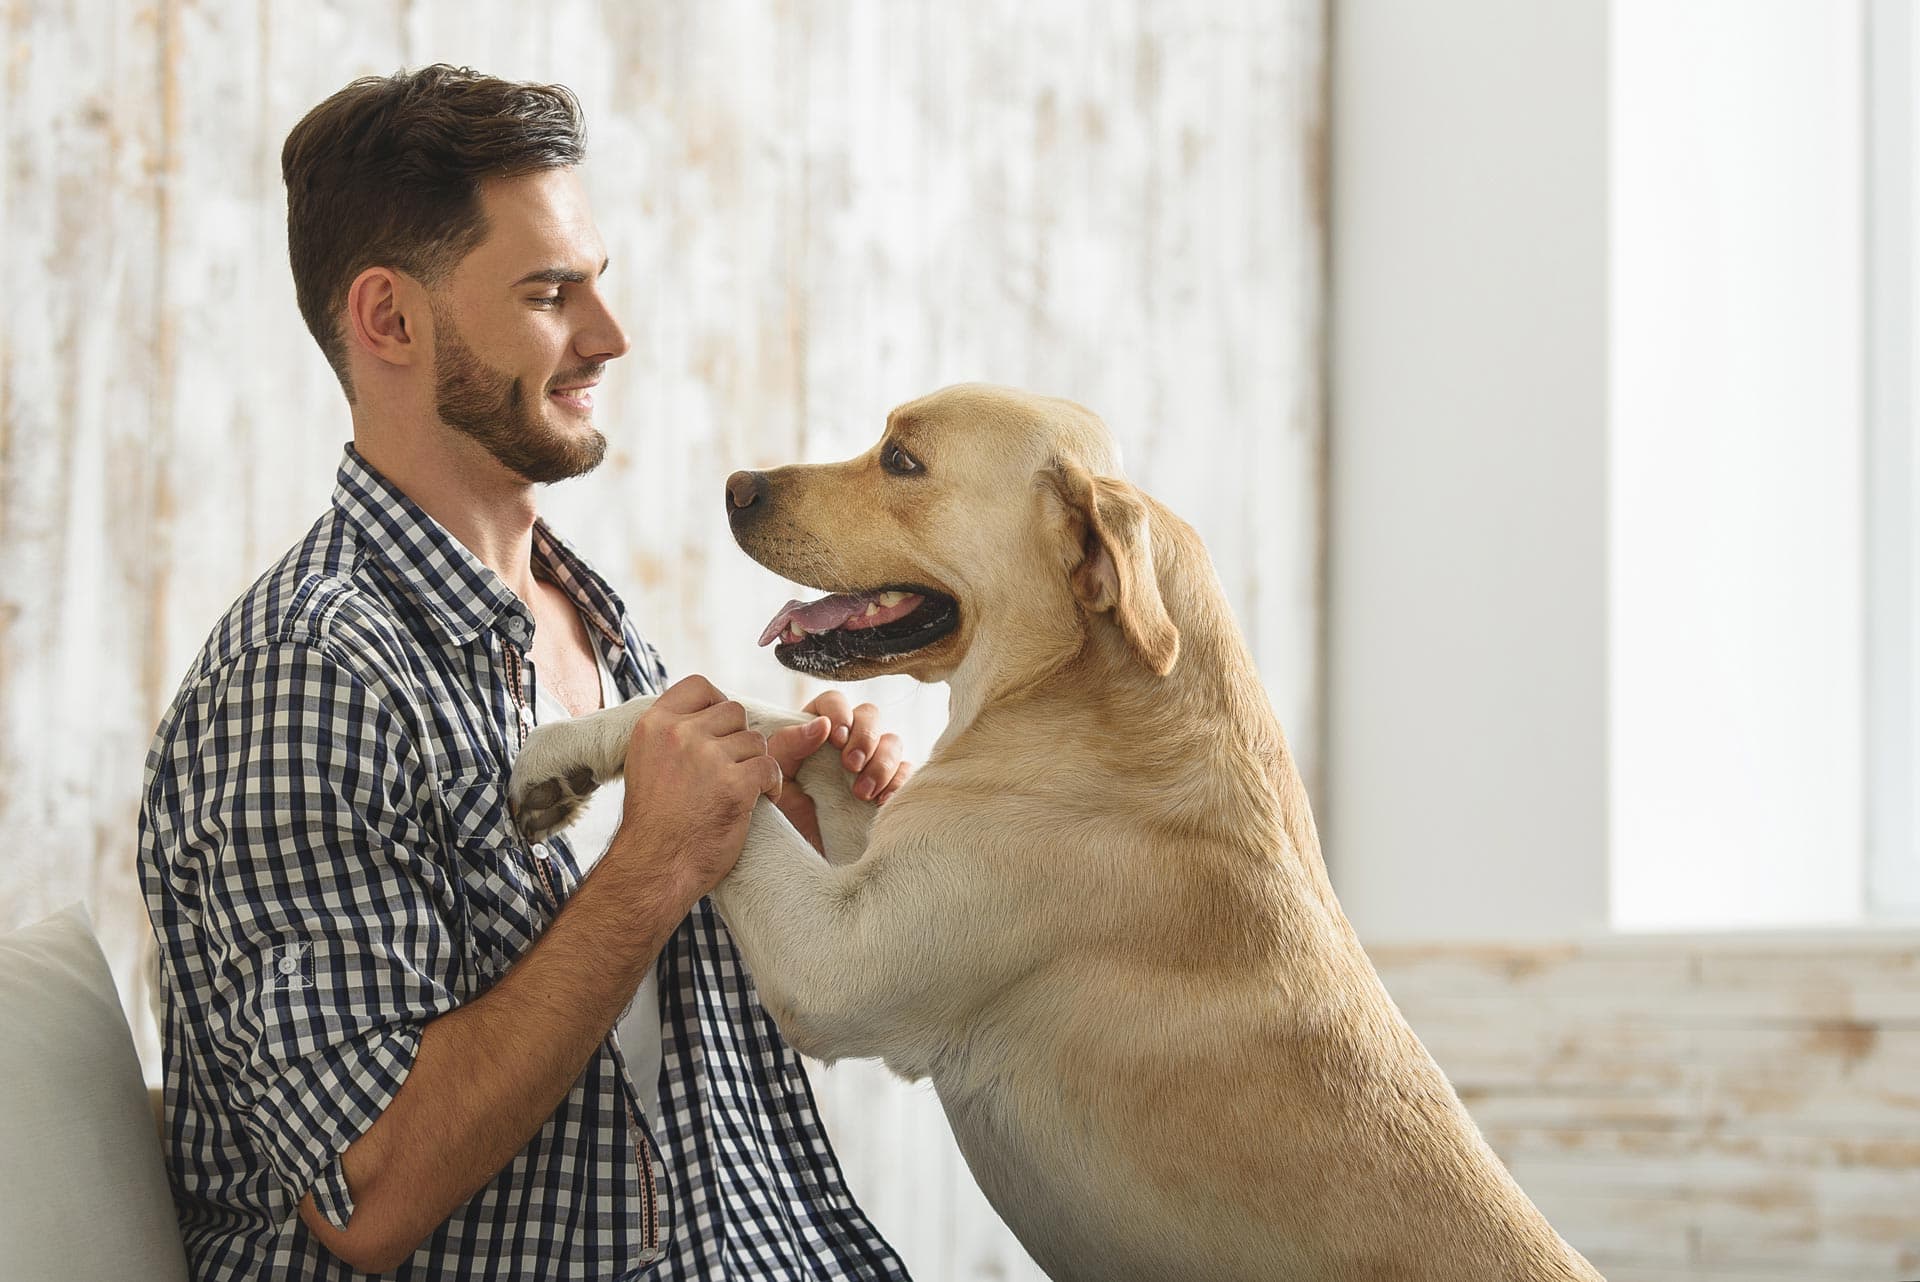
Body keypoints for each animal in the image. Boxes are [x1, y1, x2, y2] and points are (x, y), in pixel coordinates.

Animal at [514, 383, 1605, 1282]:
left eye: (901, 459)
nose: (737, 486)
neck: (1082, 691)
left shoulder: (836, 957)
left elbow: (713, 735)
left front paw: (588, 750)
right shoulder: (893, 845)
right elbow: (766, 713)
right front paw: (560, 757)